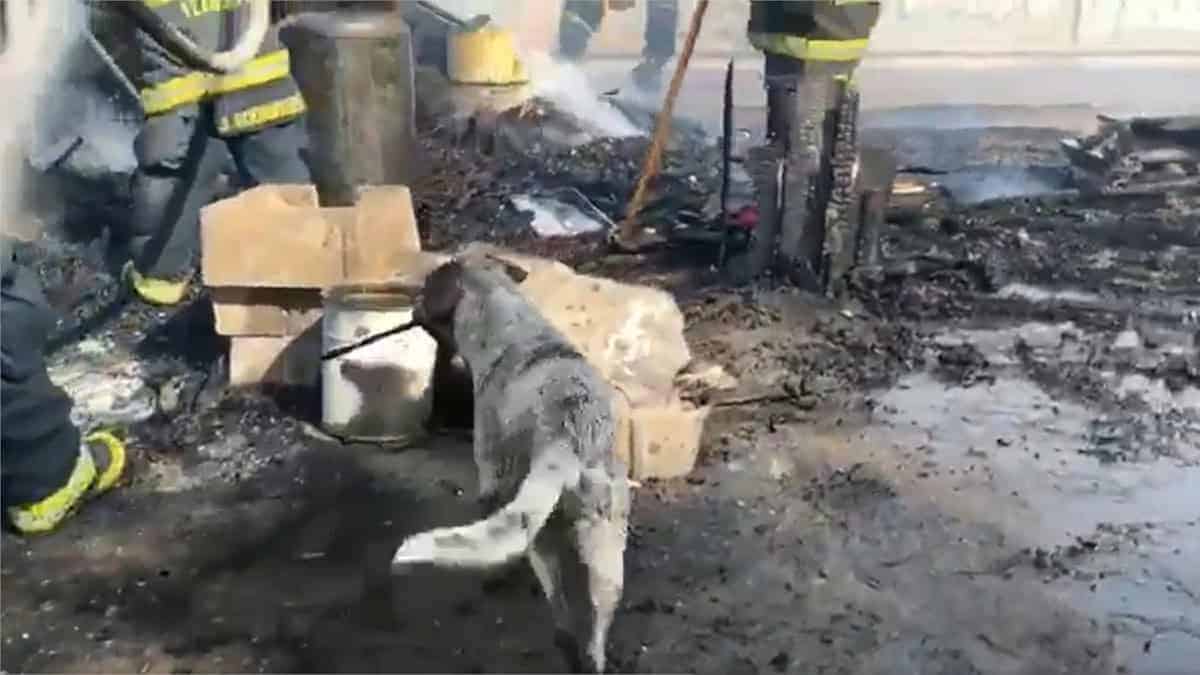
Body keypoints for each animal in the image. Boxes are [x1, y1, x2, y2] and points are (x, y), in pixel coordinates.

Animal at [396, 253, 638, 672]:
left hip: (539, 533)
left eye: (426, 288)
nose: (410, 305)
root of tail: (569, 439)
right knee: (597, 623)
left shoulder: (491, 476)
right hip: (606, 539)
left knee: (561, 612)